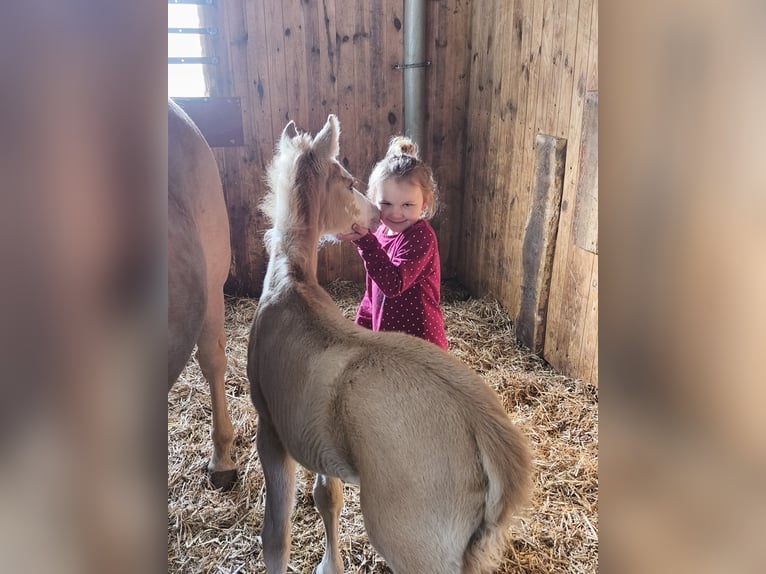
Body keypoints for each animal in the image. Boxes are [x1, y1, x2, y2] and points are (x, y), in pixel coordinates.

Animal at [247, 115, 532, 573]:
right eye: (348, 183)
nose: (375, 213)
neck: (292, 282)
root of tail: (486, 430)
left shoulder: (270, 429)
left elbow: (276, 535)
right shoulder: (322, 445)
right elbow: (327, 498)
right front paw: (330, 565)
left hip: (413, 545)